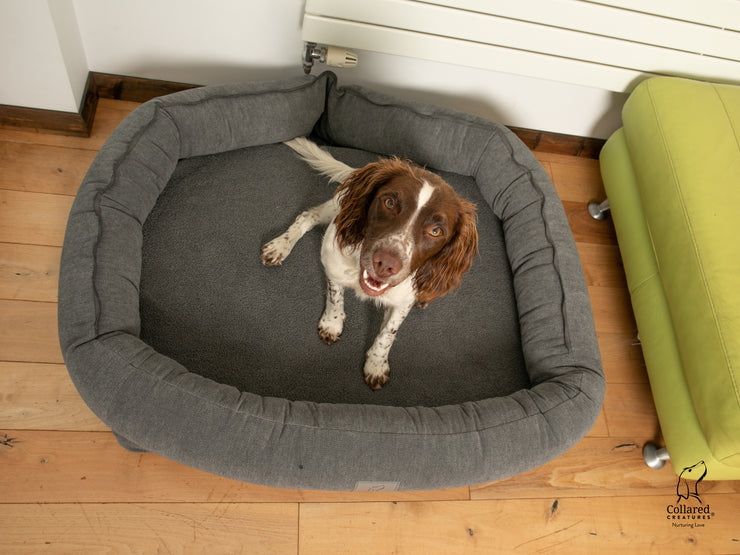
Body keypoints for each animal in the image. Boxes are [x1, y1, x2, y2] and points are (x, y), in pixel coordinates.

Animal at [264, 139, 476, 390]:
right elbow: (335, 298)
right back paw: (280, 245)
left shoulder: (402, 301)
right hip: (338, 208)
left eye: (436, 231)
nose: (385, 264)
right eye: (390, 202)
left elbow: (388, 333)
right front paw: (332, 324)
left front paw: (376, 364)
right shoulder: (333, 265)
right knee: (307, 216)